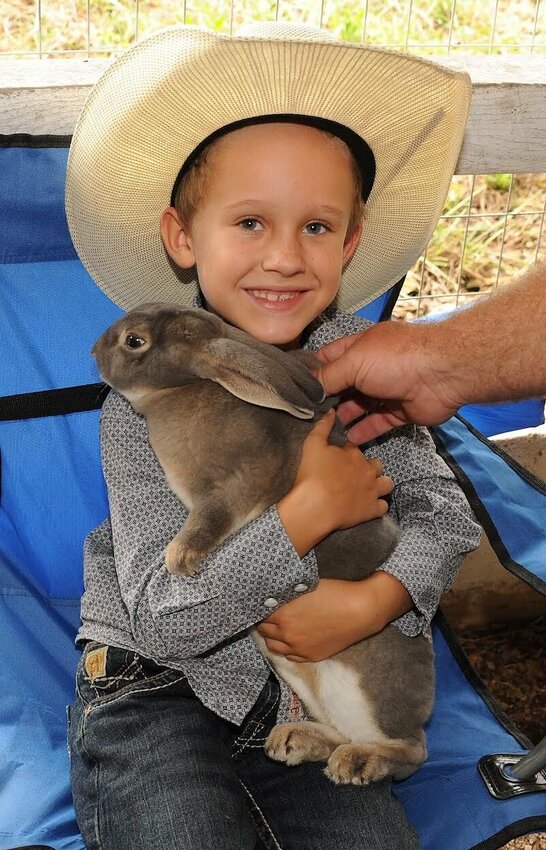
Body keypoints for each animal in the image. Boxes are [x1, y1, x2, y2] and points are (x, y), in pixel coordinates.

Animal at [93, 302, 434, 784]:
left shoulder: (242, 484)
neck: (184, 388)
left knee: (410, 751)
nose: (94, 350)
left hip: (366, 692)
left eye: (134, 341)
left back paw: (357, 762)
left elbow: (213, 516)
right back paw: (293, 740)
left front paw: (180, 557)